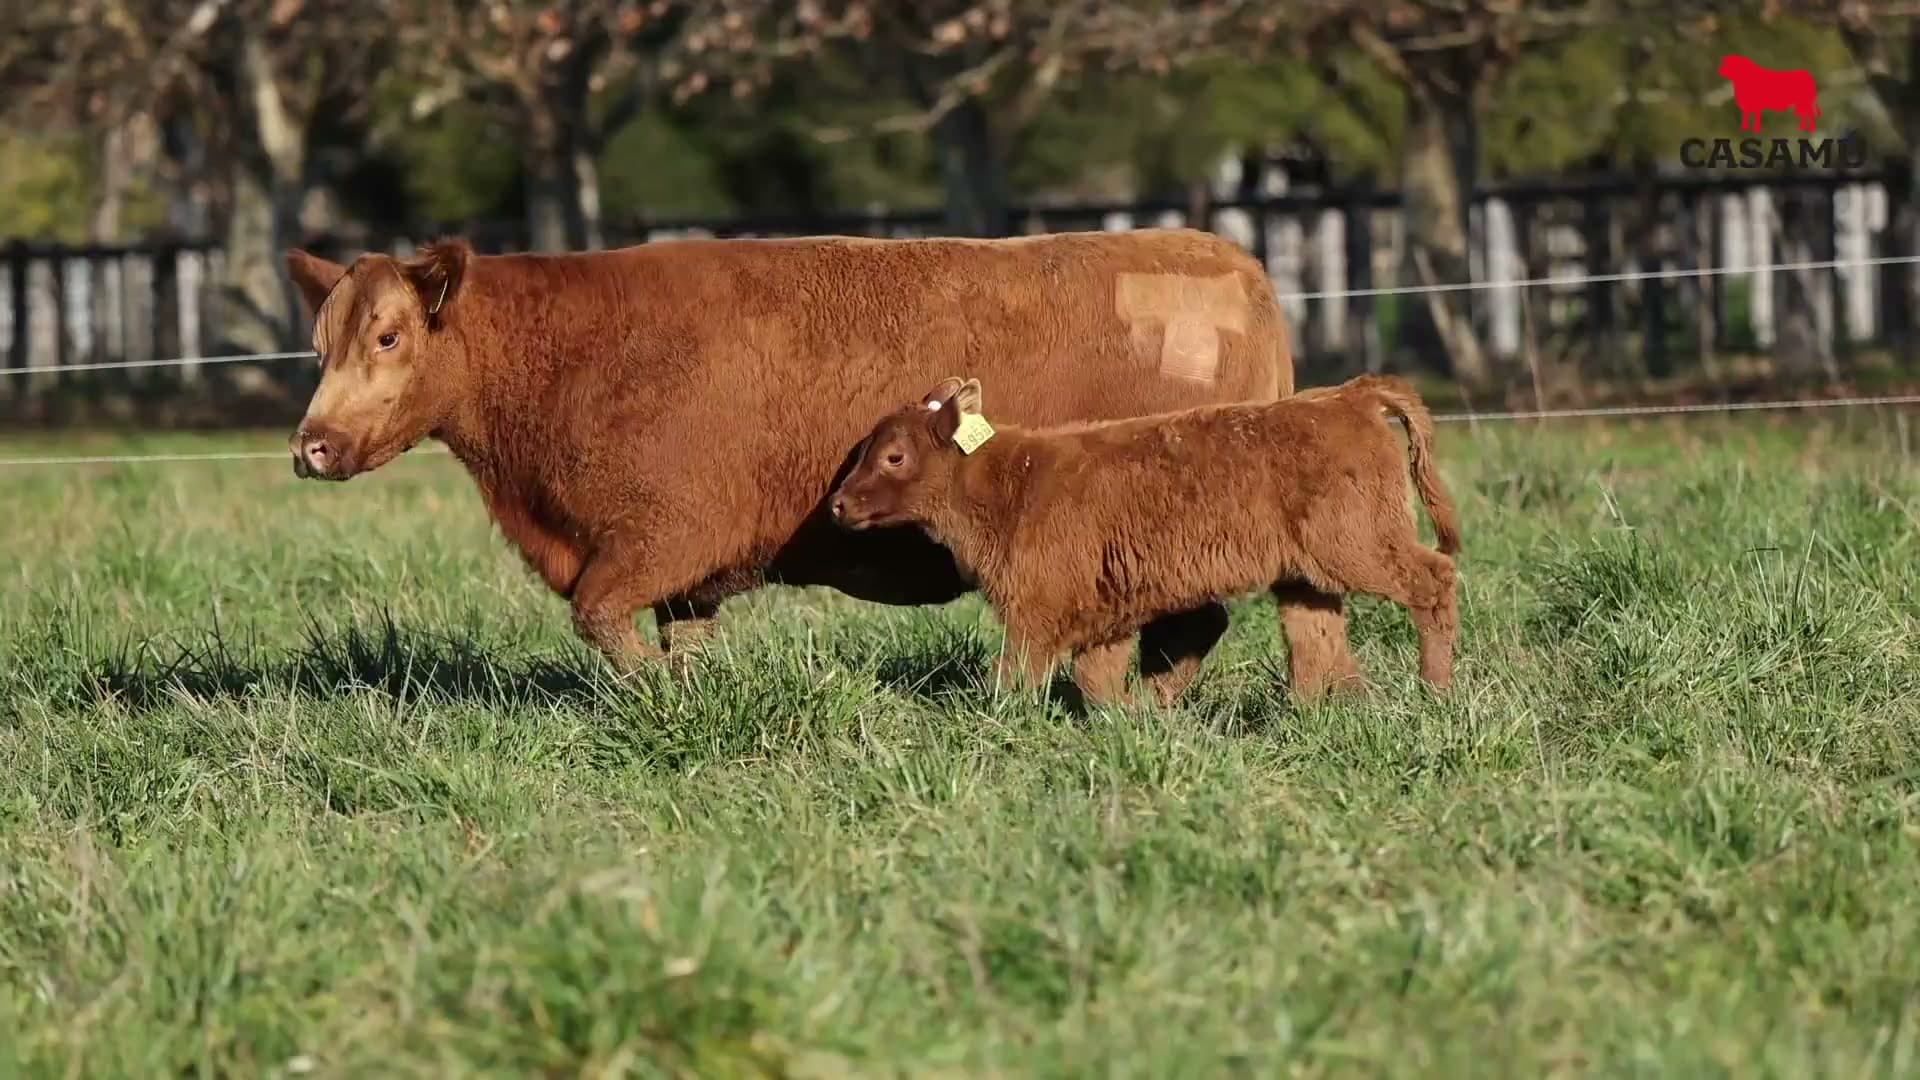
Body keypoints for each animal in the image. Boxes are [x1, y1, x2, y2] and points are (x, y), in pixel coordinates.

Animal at [281, 229, 1363, 699]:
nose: (312, 446)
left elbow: (601, 622)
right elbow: (678, 644)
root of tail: (1230, 259)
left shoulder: (654, 540)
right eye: (323, 339)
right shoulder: (687, 579)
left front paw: (658, 700)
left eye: (387, 336)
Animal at [827, 374, 1462, 705]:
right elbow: (1097, 681)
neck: (1012, 480)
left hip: (1359, 546)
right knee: (1316, 639)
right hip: (1306, 576)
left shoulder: (1035, 609)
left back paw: (1434, 689)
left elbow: (1016, 679)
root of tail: (1347, 396)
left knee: (1433, 579)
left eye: (894, 456)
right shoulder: (1102, 615)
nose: (837, 504)